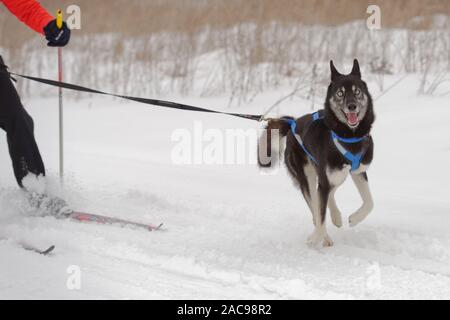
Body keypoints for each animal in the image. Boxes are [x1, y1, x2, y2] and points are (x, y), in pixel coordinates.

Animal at [258, 58, 374, 246]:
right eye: (340, 93)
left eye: (357, 91)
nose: (352, 106)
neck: (348, 136)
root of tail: (293, 123)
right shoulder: (325, 179)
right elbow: (319, 214)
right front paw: (316, 237)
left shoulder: (358, 172)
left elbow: (370, 202)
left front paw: (354, 218)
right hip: (307, 177)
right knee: (315, 204)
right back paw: (325, 233)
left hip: (335, 176)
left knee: (326, 195)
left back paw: (336, 217)